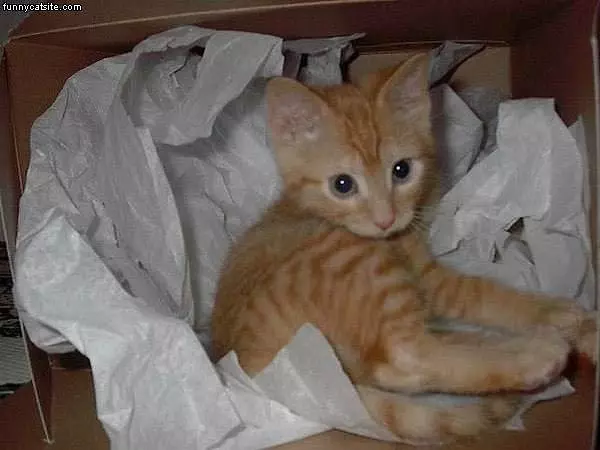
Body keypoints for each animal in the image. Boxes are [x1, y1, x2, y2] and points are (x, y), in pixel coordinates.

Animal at [211, 53, 596, 442]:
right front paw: (556, 311)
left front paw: (577, 325)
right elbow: (482, 293)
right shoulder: (425, 274)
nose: (386, 219)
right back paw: (535, 355)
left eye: (402, 170)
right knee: (404, 356)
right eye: (342, 185)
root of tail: (254, 375)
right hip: (361, 262)